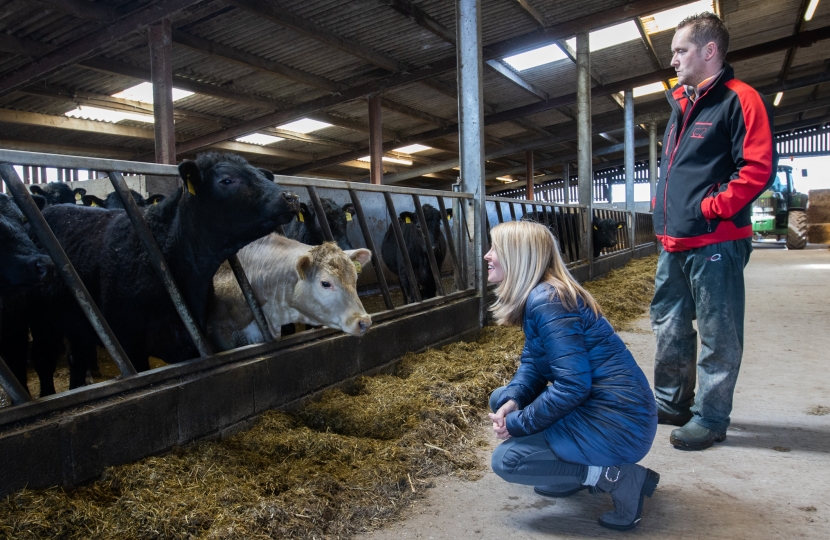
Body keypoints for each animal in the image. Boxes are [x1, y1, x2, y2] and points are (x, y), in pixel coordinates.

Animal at [24, 152, 300, 392]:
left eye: (261, 174)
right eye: (227, 180)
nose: (291, 196)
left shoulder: (190, 340)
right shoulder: (130, 344)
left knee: (77, 359)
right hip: (41, 321)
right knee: (44, 360)